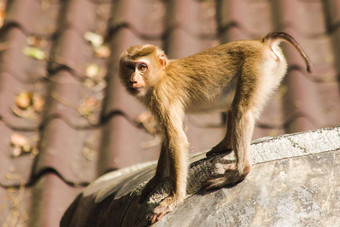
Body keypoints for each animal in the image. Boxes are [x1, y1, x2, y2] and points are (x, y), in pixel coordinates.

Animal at [118, 31, 312, 223]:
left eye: (142, 67)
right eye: (130, 67)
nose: (133, 80)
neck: (161, 75)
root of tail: (262, 43)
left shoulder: (161, 96)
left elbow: (176, 139)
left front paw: (173, 199)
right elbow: (170, 137)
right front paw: (156, 180)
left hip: (256, 67)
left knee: (242, 111)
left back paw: (239, 173)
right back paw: (226, 145)